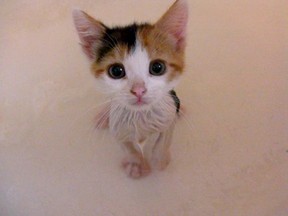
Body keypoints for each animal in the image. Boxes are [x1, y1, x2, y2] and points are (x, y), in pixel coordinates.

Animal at [73, 0, 188, 179]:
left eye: (157, 67)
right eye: (116, 71)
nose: (138, 90)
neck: (140, 115)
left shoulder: (168, 117)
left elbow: (163, 138)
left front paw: (158, 158)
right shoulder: (118, 128)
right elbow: (128, 147)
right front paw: (136, 164)